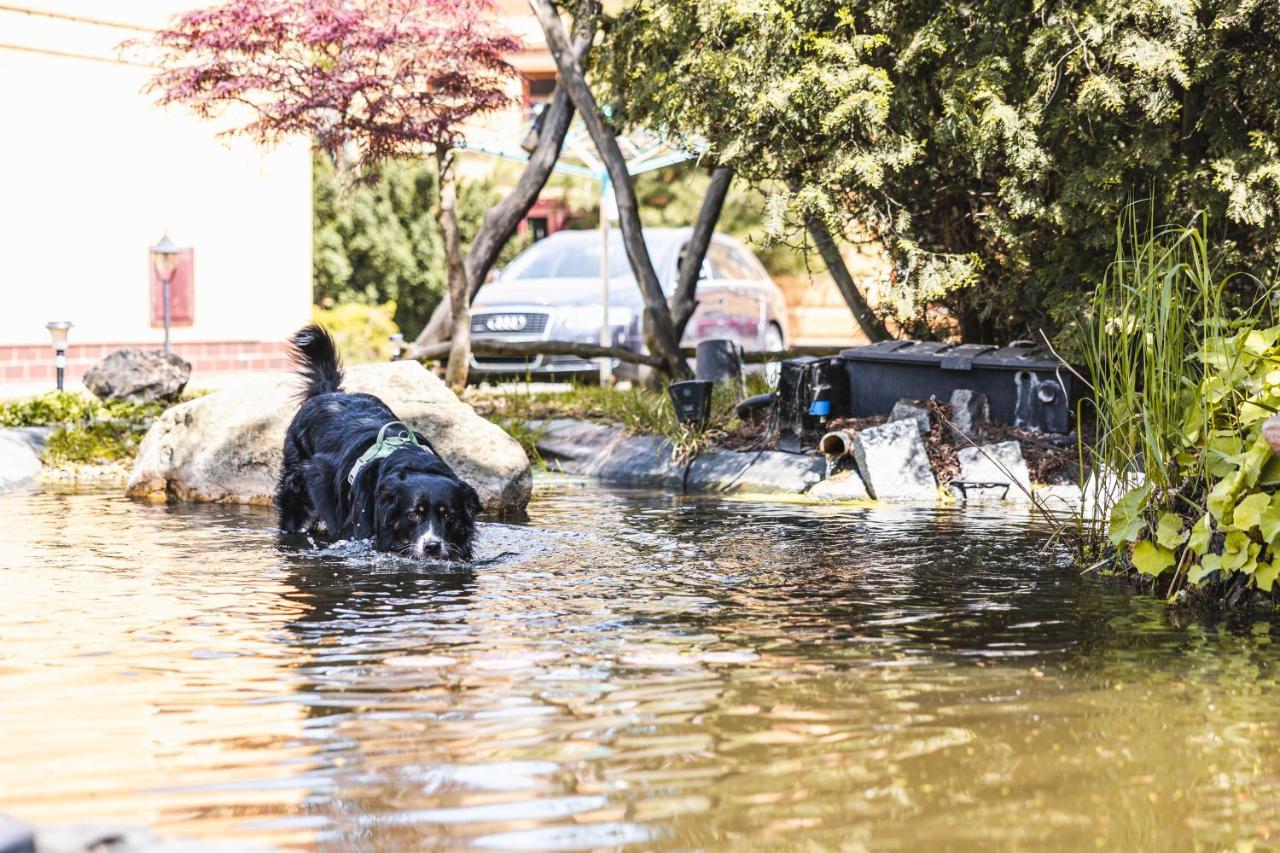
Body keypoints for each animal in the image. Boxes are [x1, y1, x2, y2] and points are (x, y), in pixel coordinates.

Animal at [275, 324, 481, 558]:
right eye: (413, 515)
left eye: (448, 516)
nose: (432, 547)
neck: (414, 463)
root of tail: (328, 393)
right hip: (297, 492)